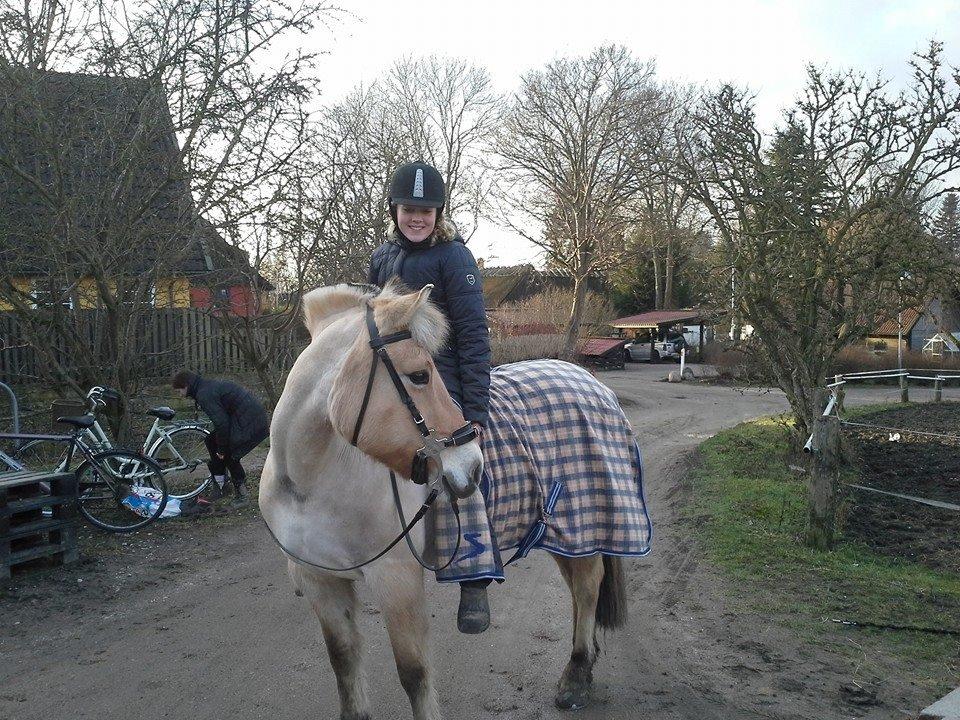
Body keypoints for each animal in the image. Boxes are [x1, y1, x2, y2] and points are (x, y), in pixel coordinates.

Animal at [259, 282, 640, 720]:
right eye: (420, 375)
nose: (473, 466)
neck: (307, 483)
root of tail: (591, 382)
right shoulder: (320, 581)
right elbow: (343, 660)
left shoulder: (396, 580)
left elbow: (413, 672)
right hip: (563, 531)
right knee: (578, 589)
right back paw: (585, 664)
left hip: (584, 521)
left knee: (588, 587)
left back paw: (576, 674)